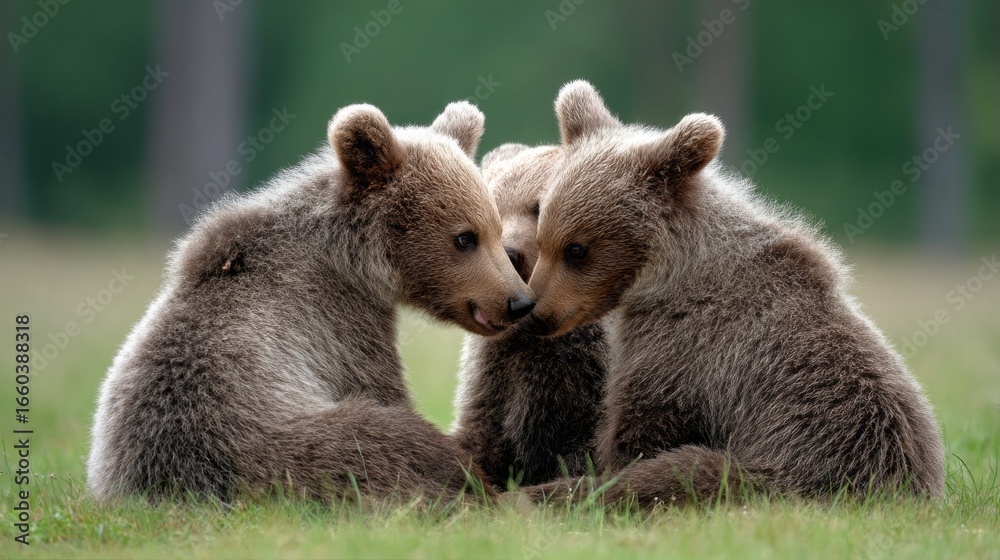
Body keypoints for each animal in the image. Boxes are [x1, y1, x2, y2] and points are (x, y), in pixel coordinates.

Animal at [86, 101, 536, 505]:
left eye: (496, 229)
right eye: (465, 237)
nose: (519, 301)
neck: (351, 258)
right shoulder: (337, 319)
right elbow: (379, 385)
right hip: (291, 445)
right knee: (395, 443)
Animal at [519, 80, 945, 507]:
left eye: (577, 249)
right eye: (543, 238)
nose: (536, 314)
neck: (669, 272)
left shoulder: (684, 347)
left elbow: (640, 429)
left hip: (798, 462)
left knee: (684, 472)